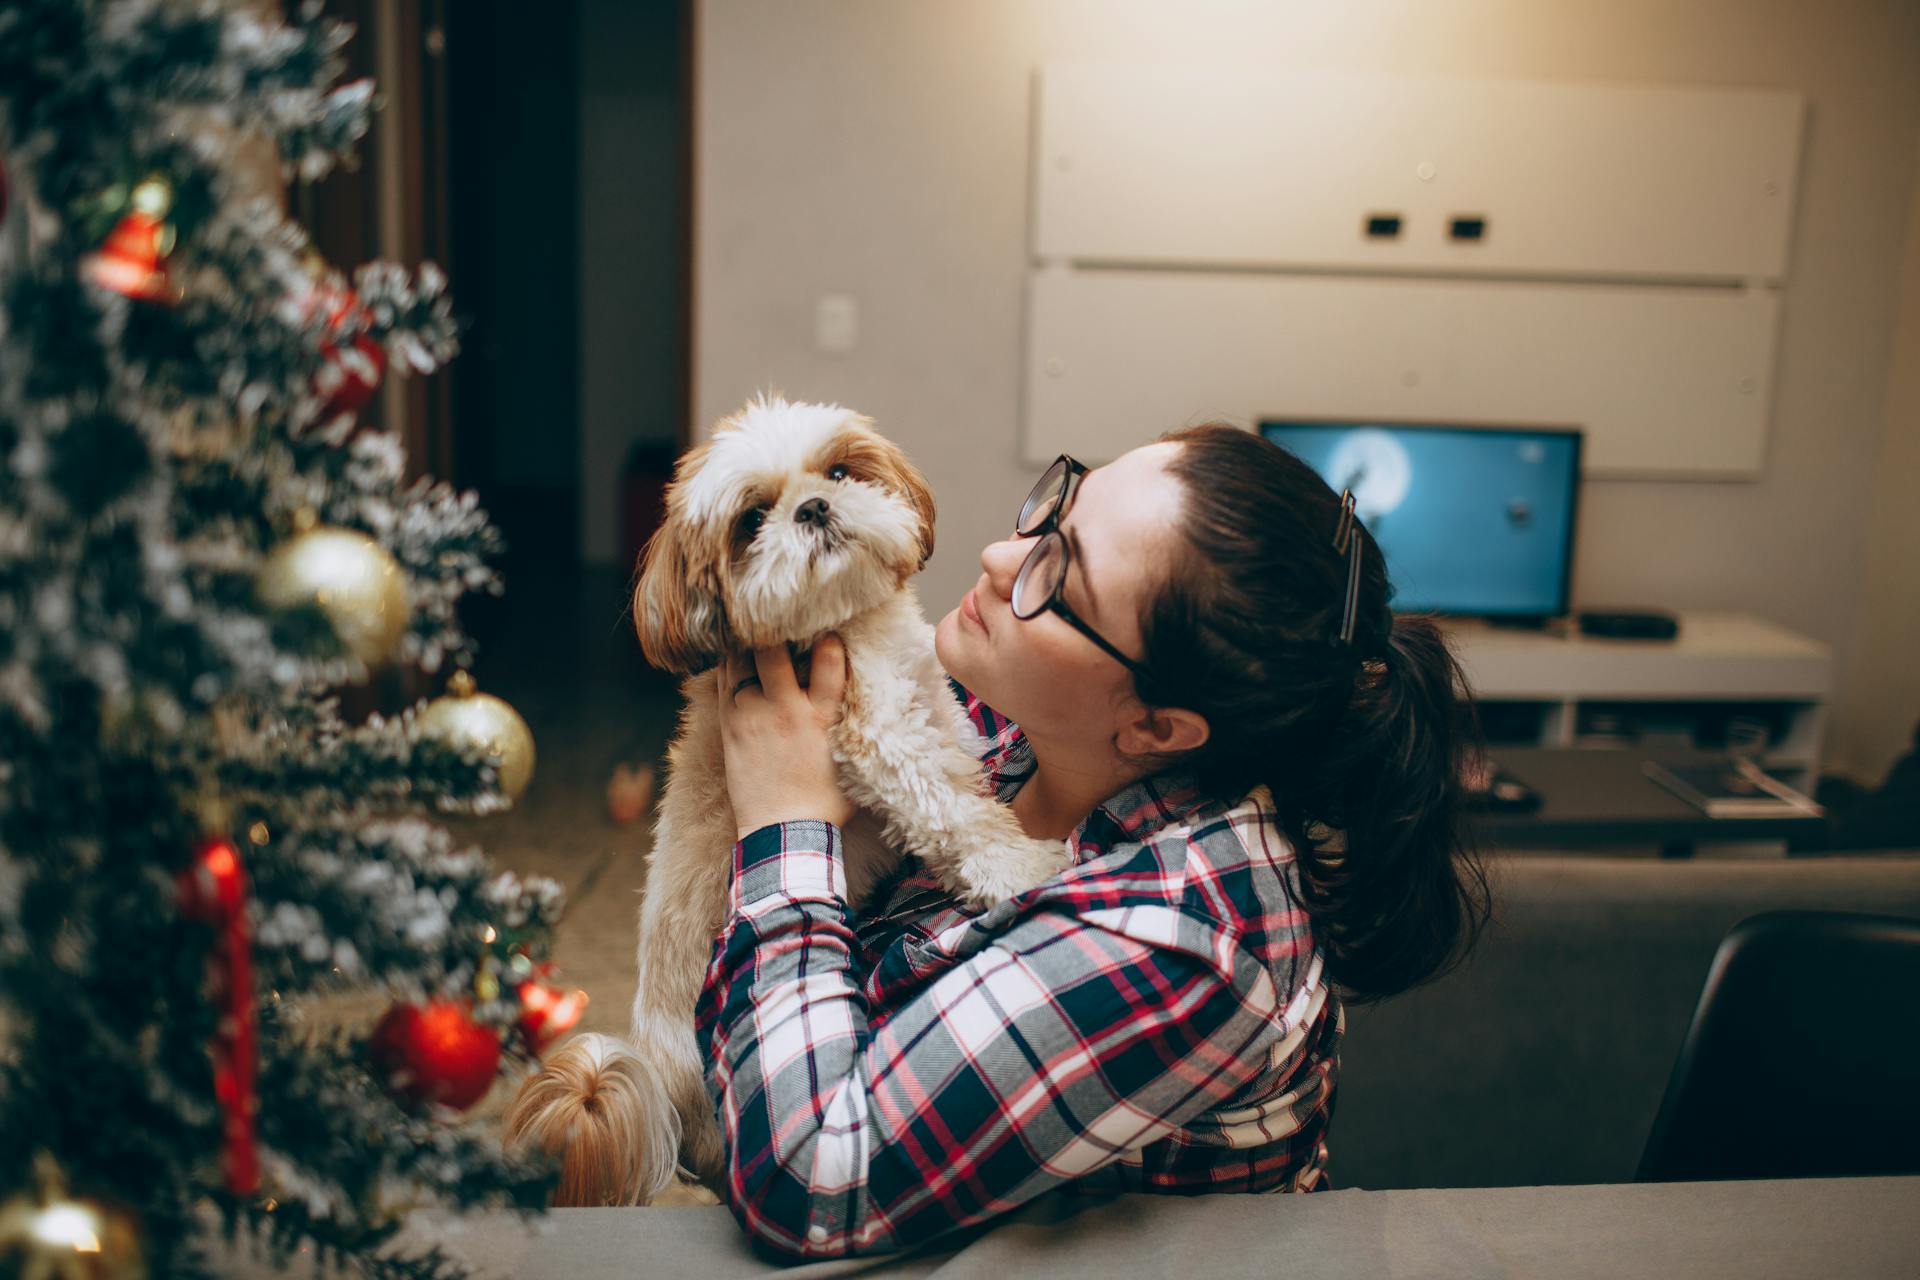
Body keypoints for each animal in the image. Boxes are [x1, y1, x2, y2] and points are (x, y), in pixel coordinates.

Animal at [503, 395, 1075, 1205]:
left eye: (837, 472)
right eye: (751, 519)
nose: (814, 507)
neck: (847, 626)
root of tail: (656, 1076)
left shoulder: (934, 703)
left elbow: (964, 771)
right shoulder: (877, 737)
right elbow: (953, 808)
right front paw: (1019, 866)